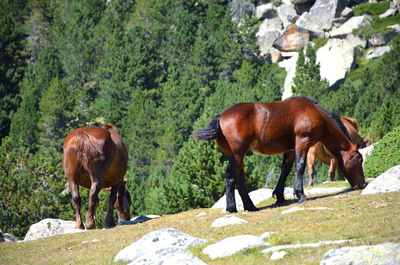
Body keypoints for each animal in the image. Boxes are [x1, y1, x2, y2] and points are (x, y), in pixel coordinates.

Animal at [194, 97, 366, 212]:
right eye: (359, 159)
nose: (362, 184)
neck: (315, 113)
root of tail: (220, 116)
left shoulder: (290, 149)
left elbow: (285, 170)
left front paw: (280, 196)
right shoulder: (302, 141)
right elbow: (300, 167)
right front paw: (300, 195)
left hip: (239, 155)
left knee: (240, 179)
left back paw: (251, 206)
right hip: (237, 153)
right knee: (231, 176)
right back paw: (231, 208)